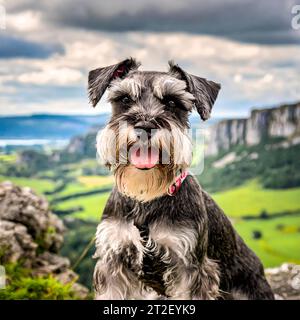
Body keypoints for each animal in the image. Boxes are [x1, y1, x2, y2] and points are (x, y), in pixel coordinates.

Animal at [88, 58, 274, 300]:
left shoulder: (190, 268)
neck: (146, 198)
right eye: (125, 99)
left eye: (172, 101)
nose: (145, 127)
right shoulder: (114, 259)